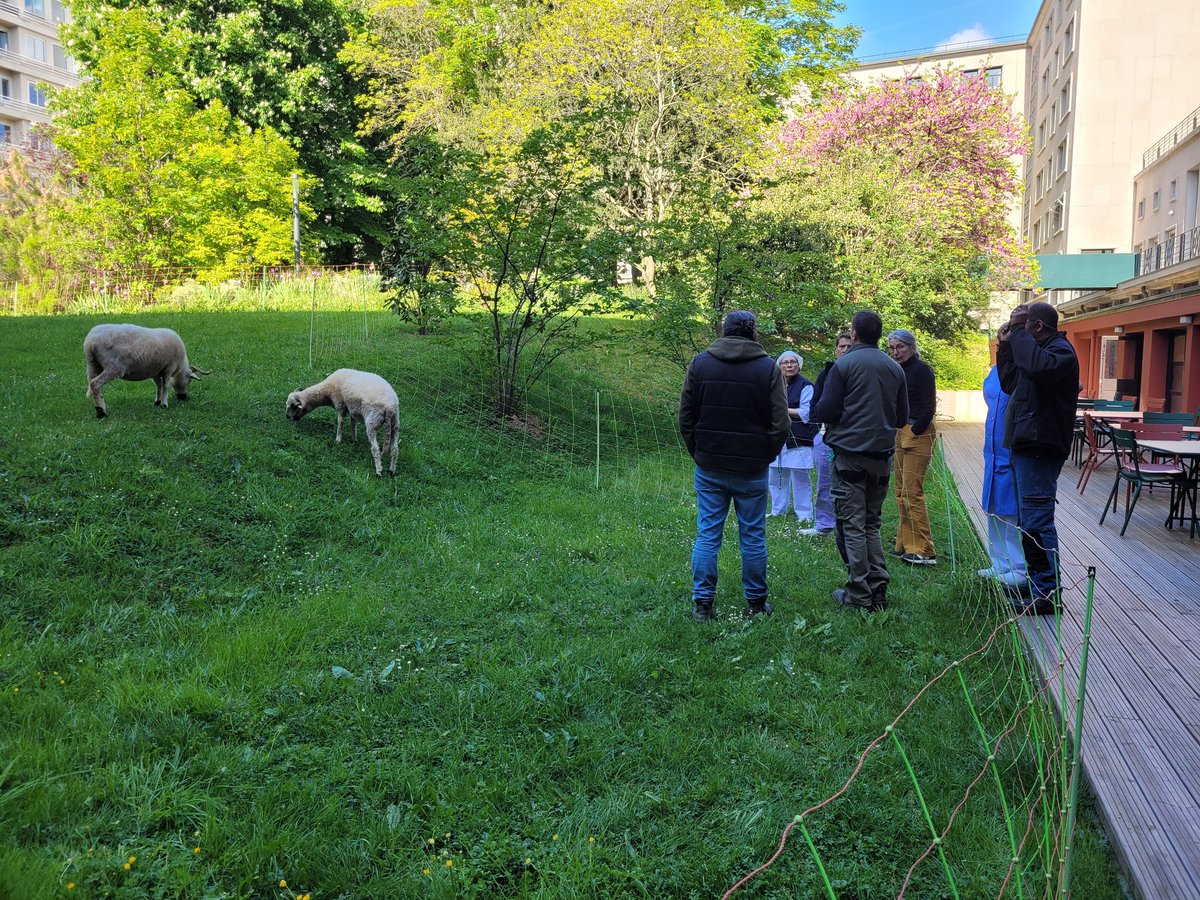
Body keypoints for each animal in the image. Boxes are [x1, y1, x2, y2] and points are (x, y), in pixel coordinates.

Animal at [84, 326, 213, 422]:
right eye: (189, 381)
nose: (183, 398)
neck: (180, 367)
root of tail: (90, 343)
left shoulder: (156, 371)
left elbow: (158, 385)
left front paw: (157, 401)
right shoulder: (169, 368)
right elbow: (166, 385)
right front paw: (164, 404)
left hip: (92, 365)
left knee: (93, 384)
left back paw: (99, 409)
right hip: (114, 366)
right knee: (96, 384)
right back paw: (101, 413)